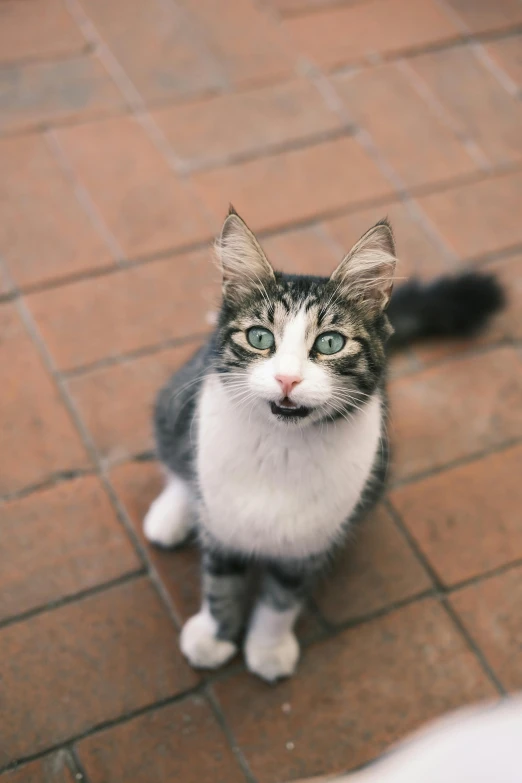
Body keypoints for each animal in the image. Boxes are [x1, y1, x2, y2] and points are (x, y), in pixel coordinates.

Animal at [141, 208, 500, 680]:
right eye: (259, 337)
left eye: (330, 342)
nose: (287, 379)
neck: (281, 448)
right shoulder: (223, 525)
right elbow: (221, 583)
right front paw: (215, 637)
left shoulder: (311, 542)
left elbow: (281, 600)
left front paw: (268, 648)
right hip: (174, 402)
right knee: (180, 465)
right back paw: (172, 513)